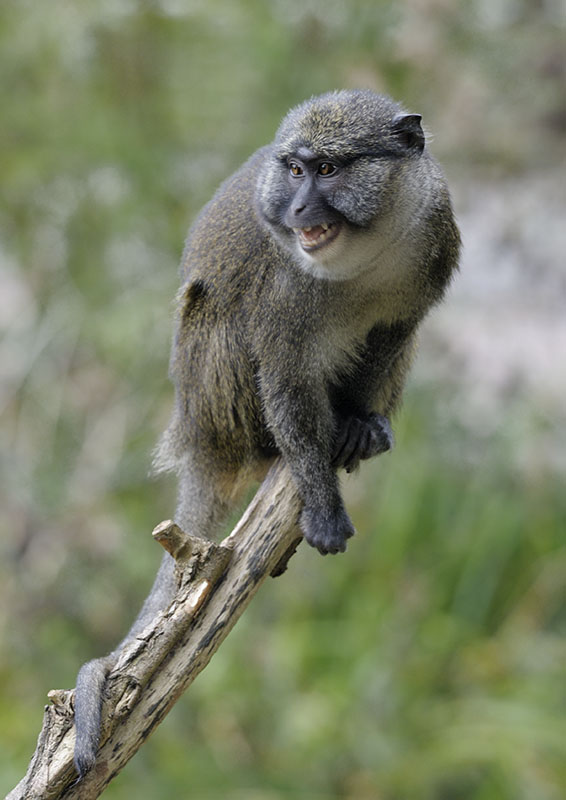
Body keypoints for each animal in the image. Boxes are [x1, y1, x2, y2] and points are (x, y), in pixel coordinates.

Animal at [73, 89, 460, 776]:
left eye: (329, 170)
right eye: (295, 170)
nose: (300, 207)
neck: (370, 248)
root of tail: (199, 441)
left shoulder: (432, 245)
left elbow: (395, 330)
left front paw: (358, 421)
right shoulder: (286, 296)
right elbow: (285, 379)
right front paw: (323, 508)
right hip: (218, 397)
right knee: (220, 309)